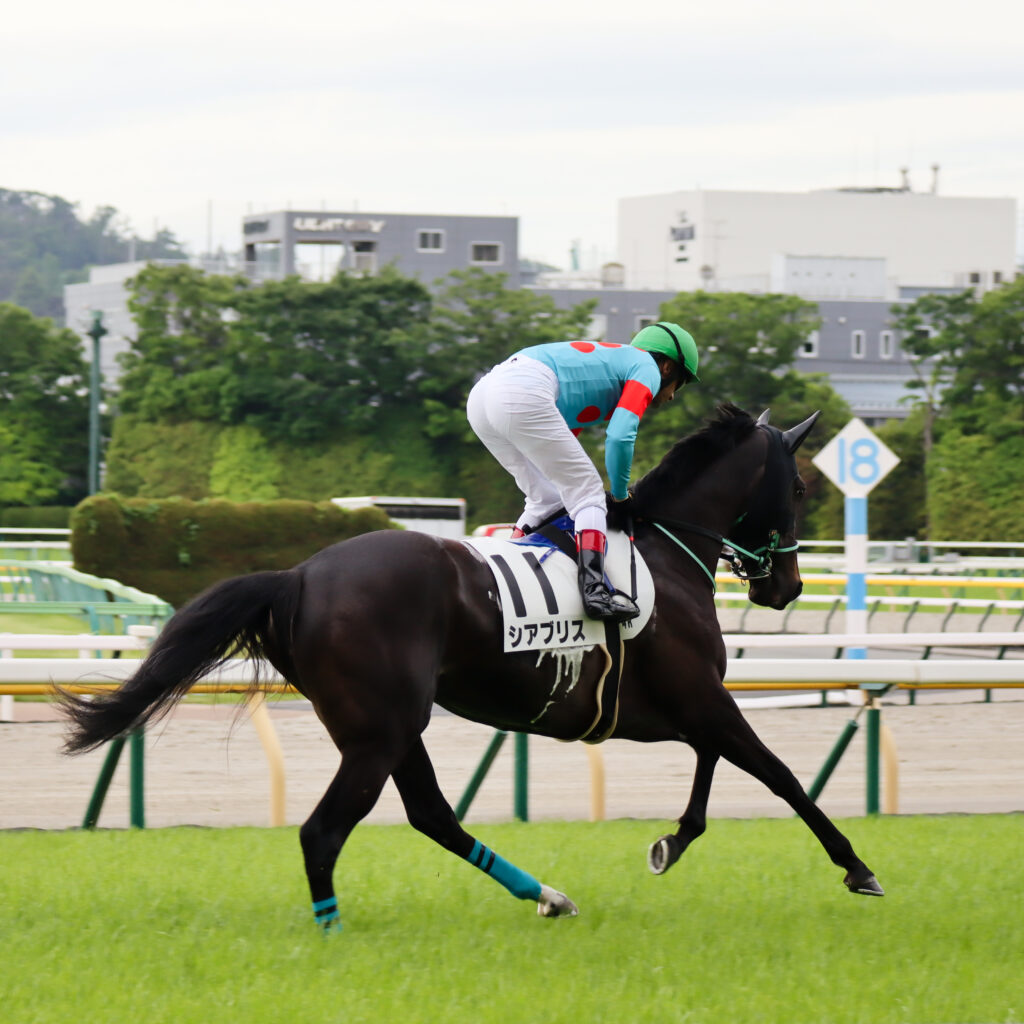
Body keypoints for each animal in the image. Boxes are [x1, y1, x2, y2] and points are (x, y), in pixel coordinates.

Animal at [60, 403, 883, 932]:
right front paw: (858, 867)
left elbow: (719, 767)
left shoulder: (685, 708)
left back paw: (548, 896)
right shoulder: (700, 700)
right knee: (325, 832)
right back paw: (332, 933)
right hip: (379, 731)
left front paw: (671, 842)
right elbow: (781, 776)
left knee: (431, 815)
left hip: (392, 727)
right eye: (800, 486)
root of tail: (297, 577)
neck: (663, 553)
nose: (786, 589)